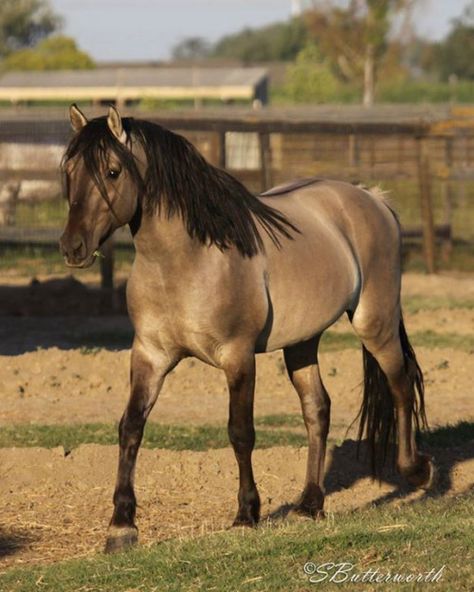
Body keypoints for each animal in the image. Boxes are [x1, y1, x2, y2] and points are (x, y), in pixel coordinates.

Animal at [58, 104, 434, 552]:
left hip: (374, 322)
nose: (72, 247)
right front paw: (121, 525)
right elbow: (130, 426)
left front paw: (245, 515)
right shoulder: (149, 355)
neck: (187, 260)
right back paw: (309, 505)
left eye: (113, 171)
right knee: (317, 409)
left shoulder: (237, 357)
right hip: (303, 342)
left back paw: (417, 472)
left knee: (400, 383)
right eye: (68, 170)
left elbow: (240, 432)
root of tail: (372, 198)